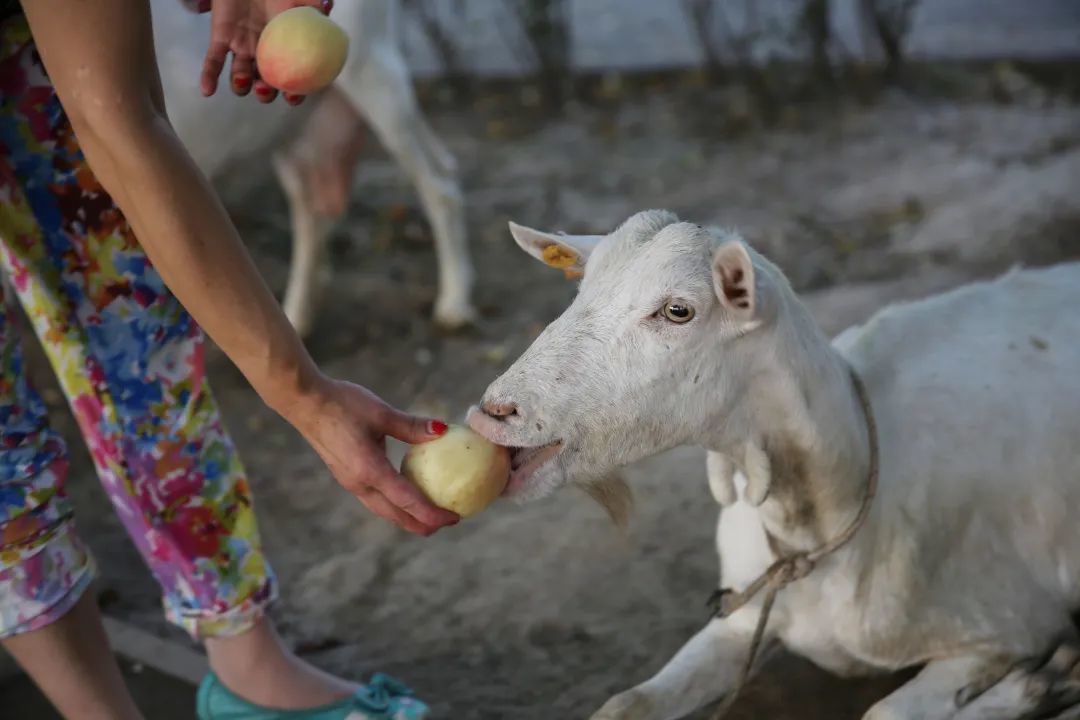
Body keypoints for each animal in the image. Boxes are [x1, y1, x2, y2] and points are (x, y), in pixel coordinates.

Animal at [152, 0, 473, 338]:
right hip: (289, 131)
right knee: (311, 215)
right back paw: (297, 316)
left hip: (377, 78)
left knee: (439, 181)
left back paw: (454, 302)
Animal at [468, 211, 1080, 720]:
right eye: (582, 288)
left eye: (677, 310)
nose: (494, 411)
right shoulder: (739, 617)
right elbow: (626, 703)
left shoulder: (1004, 626)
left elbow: (884, 712)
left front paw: (1033, 684)